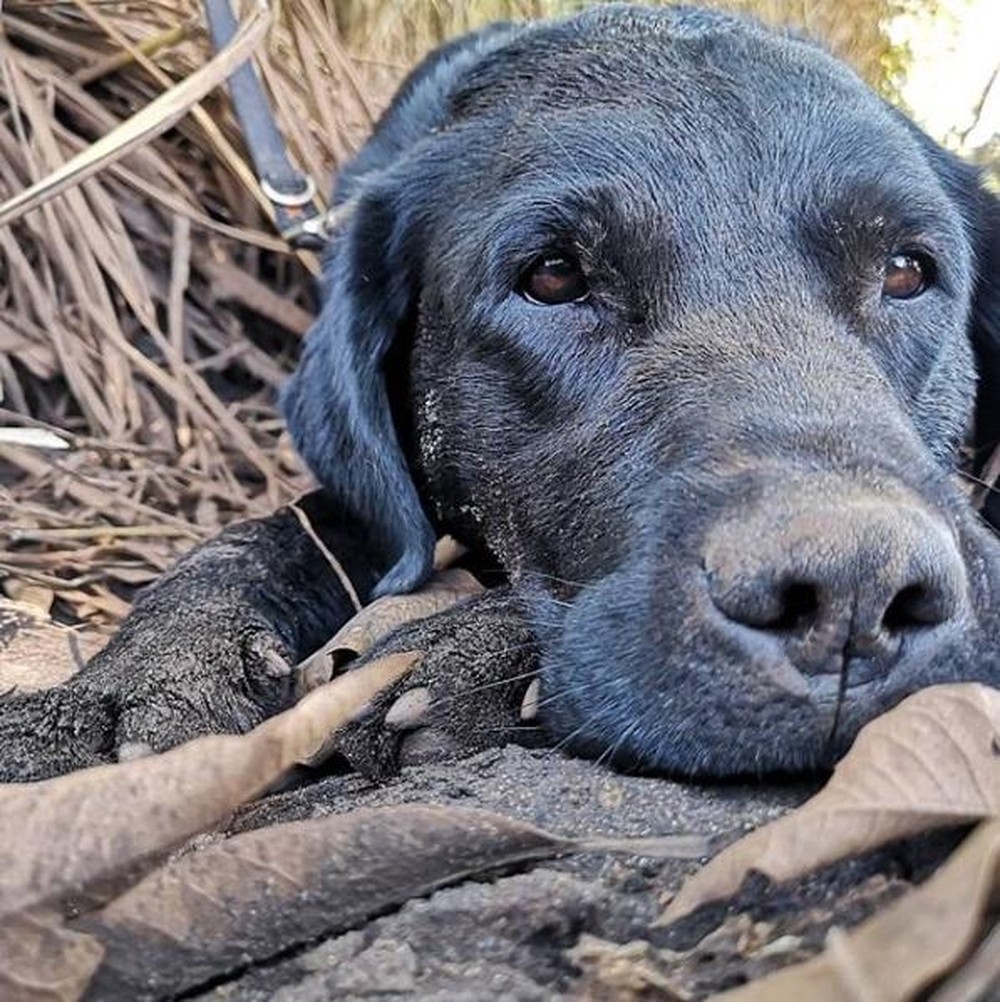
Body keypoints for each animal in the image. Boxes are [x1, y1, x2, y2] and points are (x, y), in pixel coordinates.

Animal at [1, 3, 1000, 777]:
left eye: (906, 271)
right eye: (553, 277)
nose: (853, 596)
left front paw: (475, 646)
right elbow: (249, 541)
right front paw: (140, 676)